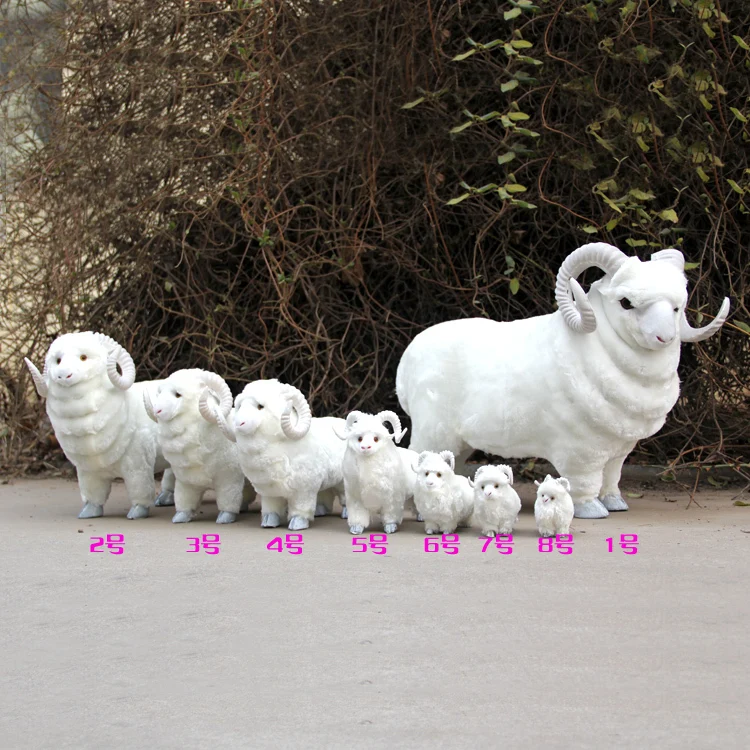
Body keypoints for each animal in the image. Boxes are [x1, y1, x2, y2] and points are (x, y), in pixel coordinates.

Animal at [24, 332, 175, 519]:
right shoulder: (88, 471)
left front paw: (137, 512)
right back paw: (165, 498)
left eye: (83, 357)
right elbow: (93, 494)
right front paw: (89, 512)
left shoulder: (137, 465)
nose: (63, 375)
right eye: (58, 360)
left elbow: (139, 490)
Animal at [143, 369, 255, 523]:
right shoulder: (186, 482)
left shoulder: (229, 480)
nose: (157, 410)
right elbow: (184, 501)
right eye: (160, 392)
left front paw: (225, 518)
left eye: (178, 394)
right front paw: (180, 517)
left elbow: (228, 502)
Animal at [208, 379, 346, 530]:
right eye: (239, 406)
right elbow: (271, 508)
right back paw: (320, 511)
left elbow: (300, 508)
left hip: (342, 482)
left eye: (260, 406)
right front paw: (269, 522)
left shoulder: (304, 490)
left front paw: (297, 523)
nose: (239, 423)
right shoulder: (270, 492)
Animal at [396, 243, 731, 519]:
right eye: (626, 302)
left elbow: (612, 479)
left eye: (676, 307)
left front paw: (615, 504)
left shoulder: (618, 451)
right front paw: (593, 510)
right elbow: (585, 483)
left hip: (460, 440)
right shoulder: (582, 451)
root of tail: (407, 361)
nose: (665, 337)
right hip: (434, 431)